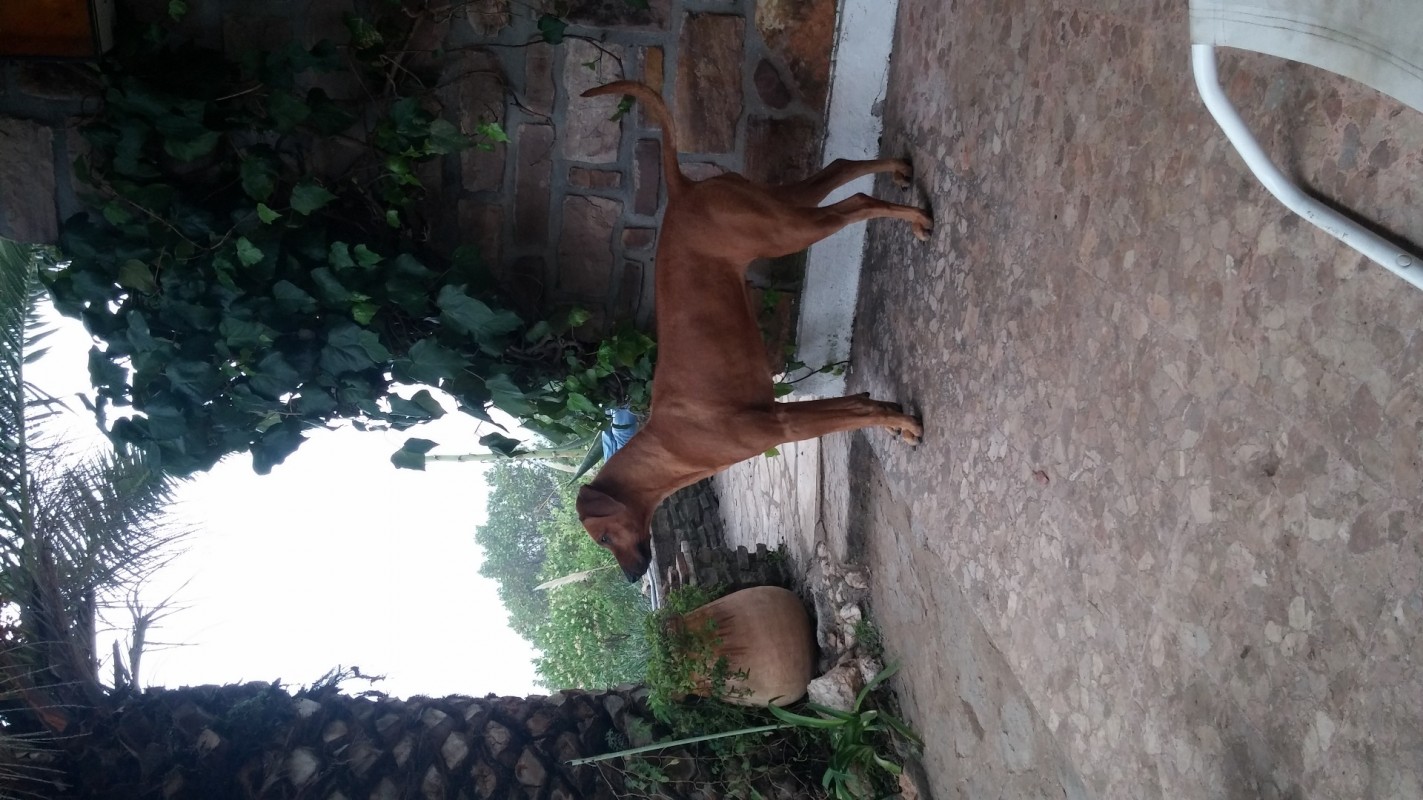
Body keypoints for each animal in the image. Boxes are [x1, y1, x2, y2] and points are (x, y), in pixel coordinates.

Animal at [575, 81, 931, 581]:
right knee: (841, 168)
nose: (631, 577)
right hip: (781, 207)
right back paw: (899, 167)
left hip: (787, 229)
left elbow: (859, 412)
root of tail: (681, 191)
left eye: (604, 538)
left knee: (858, 203)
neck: (669, 448)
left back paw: (918, 219)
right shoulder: (780, 411)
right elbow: (859, 404)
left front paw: (902, 422)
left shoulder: (782, 424)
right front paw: (896, 420)